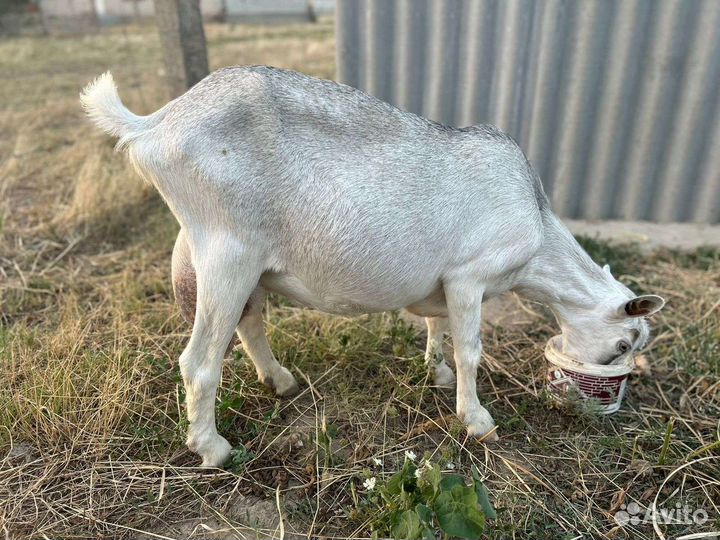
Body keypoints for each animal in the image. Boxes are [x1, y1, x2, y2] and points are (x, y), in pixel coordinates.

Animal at [81, 67, 665, 467]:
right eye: (622, 344)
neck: (537, 228)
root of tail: (156, 122)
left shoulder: (442, 284)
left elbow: (436, 327)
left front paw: (435, 372)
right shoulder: (470, 275)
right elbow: (471, 349)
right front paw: (476, 420)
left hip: (240, 262)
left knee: (249, 324)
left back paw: (280, 382)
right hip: (229, 250)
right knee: (200, 359)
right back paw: (213, 448)